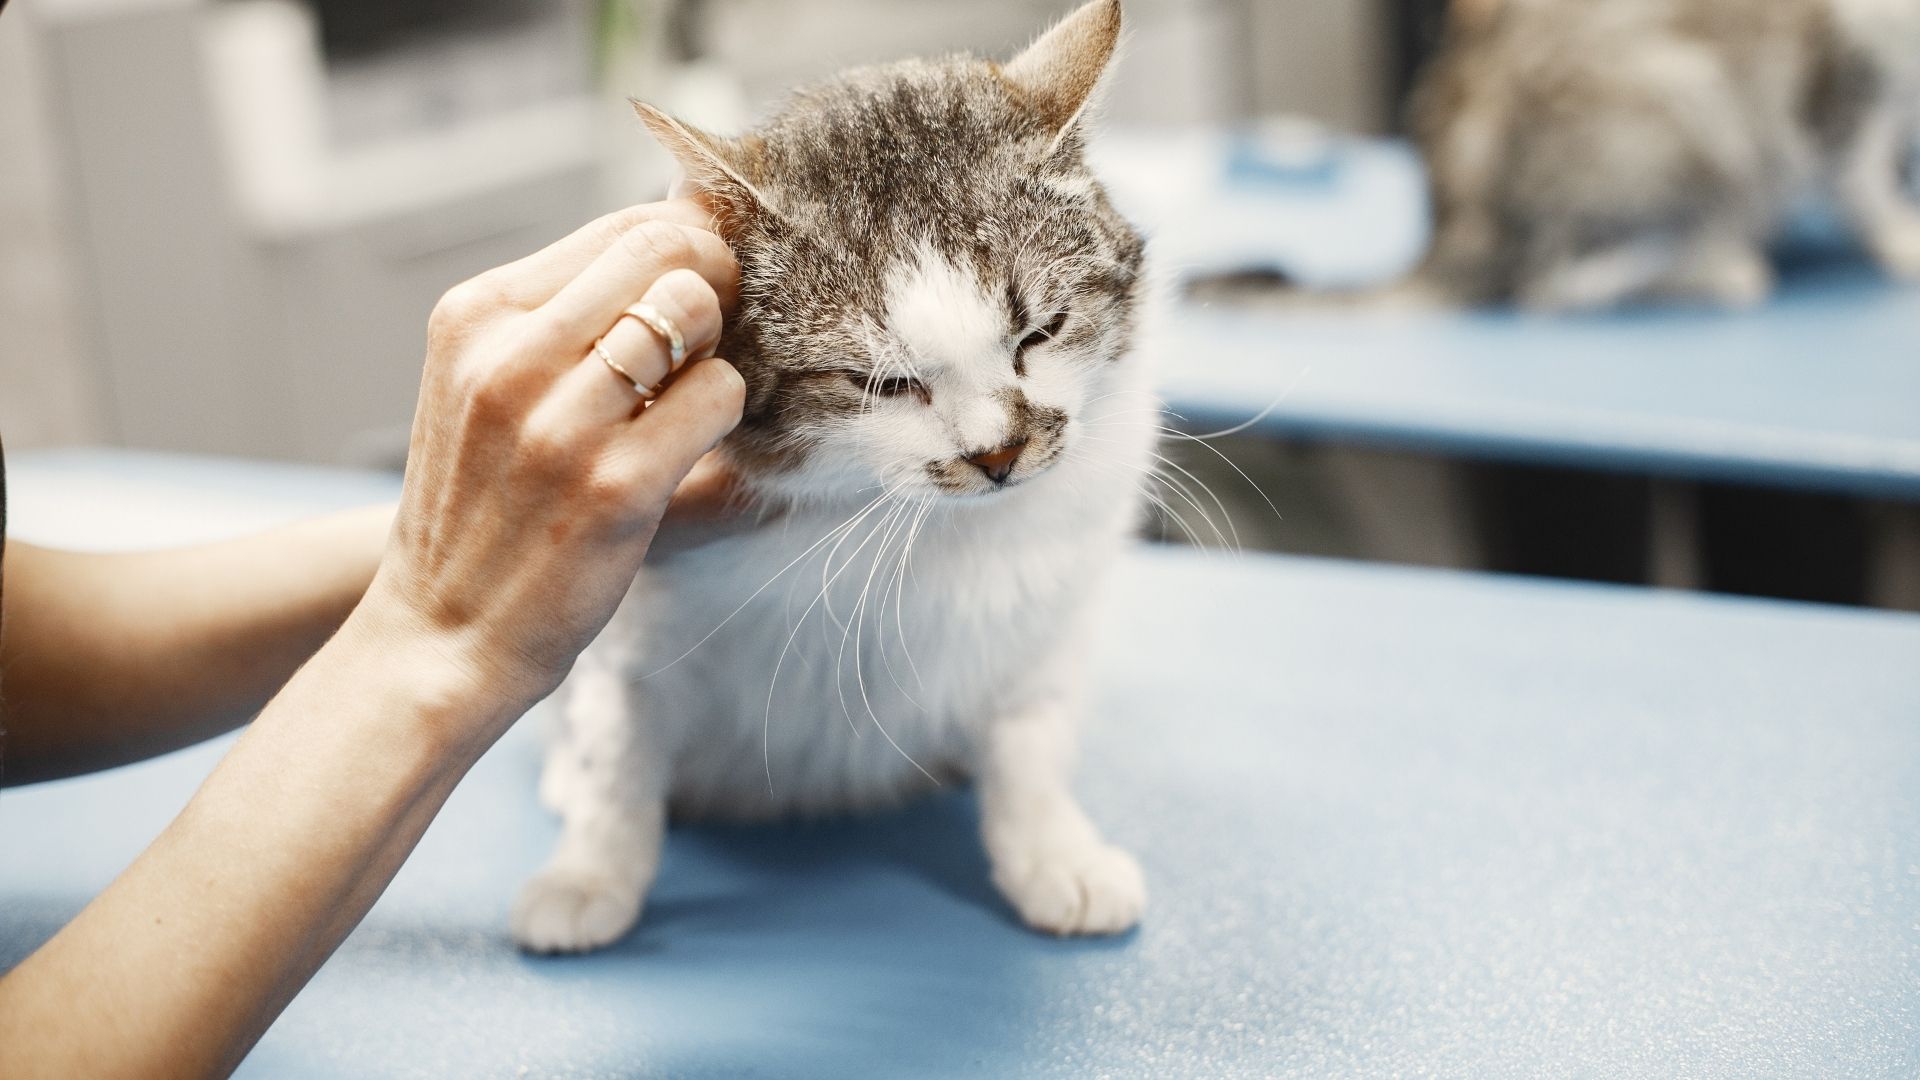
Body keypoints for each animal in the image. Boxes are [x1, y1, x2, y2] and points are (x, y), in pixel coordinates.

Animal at [510, 0, 1152, 949]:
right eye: (884, 384)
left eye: (1040, 331)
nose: (998, 454)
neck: (900, 523)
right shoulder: (631, 618)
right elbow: (618, 747)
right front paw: (591, 870)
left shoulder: (1044, 620)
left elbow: (1030, 736)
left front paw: (1053, 853)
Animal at [1413, 0, 1920, 309]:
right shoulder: (1836, 82)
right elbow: (1865, 184)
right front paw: (1904, 238)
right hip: (1690, 101)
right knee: (1557, 286)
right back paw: (1725, 268)